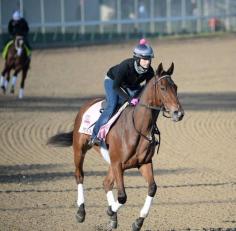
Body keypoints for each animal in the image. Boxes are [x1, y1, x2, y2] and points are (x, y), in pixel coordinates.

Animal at [47, 62, 184, 230]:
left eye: (175, 87)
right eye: (163, 88)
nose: (179, 113)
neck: (137, 127)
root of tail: (87, 104)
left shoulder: (143, 163)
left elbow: (152, 188)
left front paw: (137, 221)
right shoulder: (118, 164)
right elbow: (123, 197)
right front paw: (111, 211)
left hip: (110, 161)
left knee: (106, 183)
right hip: (79, 149)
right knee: (79, 175)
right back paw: (81, 212)